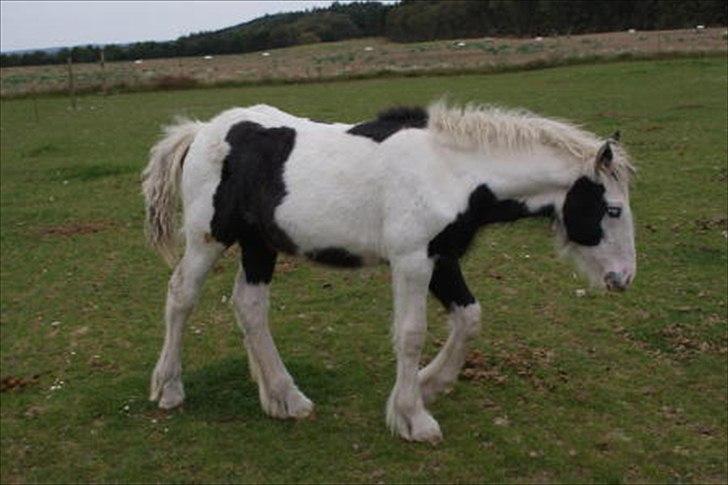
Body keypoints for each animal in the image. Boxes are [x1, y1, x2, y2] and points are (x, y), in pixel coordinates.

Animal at [139, 101, 636, 442]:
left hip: (259, 246)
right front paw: (413, 417)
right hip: (208, 237)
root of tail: (201, 131)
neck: (450, 172)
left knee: (249, 305)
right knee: (181, 296)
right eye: (612, 209)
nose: (623, 279)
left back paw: (284, 398)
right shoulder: (412, 259)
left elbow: (469, 318)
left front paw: (429, 386)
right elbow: (411, 333)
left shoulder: (442, 258)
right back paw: (170, 389)